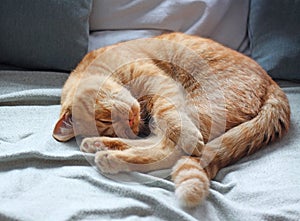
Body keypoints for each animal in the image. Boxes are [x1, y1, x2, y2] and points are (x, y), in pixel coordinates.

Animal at [52, 32, 290, 207]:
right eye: (109, 126)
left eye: (104, 118)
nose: (130, 123)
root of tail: (272, 83)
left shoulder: (160, 84)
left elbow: (167, 114)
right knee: (164, 148)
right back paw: (100, 148)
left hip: (198, 103)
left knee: (172, 148)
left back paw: (107, 155)